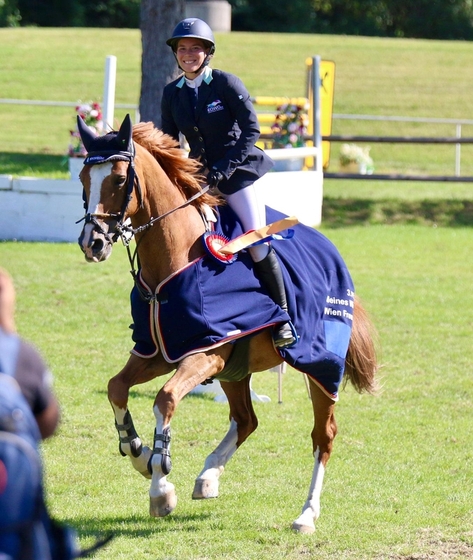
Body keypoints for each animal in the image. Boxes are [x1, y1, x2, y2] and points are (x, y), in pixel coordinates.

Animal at [75, 112, 376, 532]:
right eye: (83, 179)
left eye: (119, 179)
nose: (93, 244)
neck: (173, 258)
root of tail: (331, 251)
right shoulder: (159, 351)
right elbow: (116, 387)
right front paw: (138, 452)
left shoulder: (207, 352)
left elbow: (166, 399)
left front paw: (160, 486)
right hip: (237, 368)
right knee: (246, 419)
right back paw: (208, 477)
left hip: (319, 365)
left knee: (323, 436)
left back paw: (306, 514)